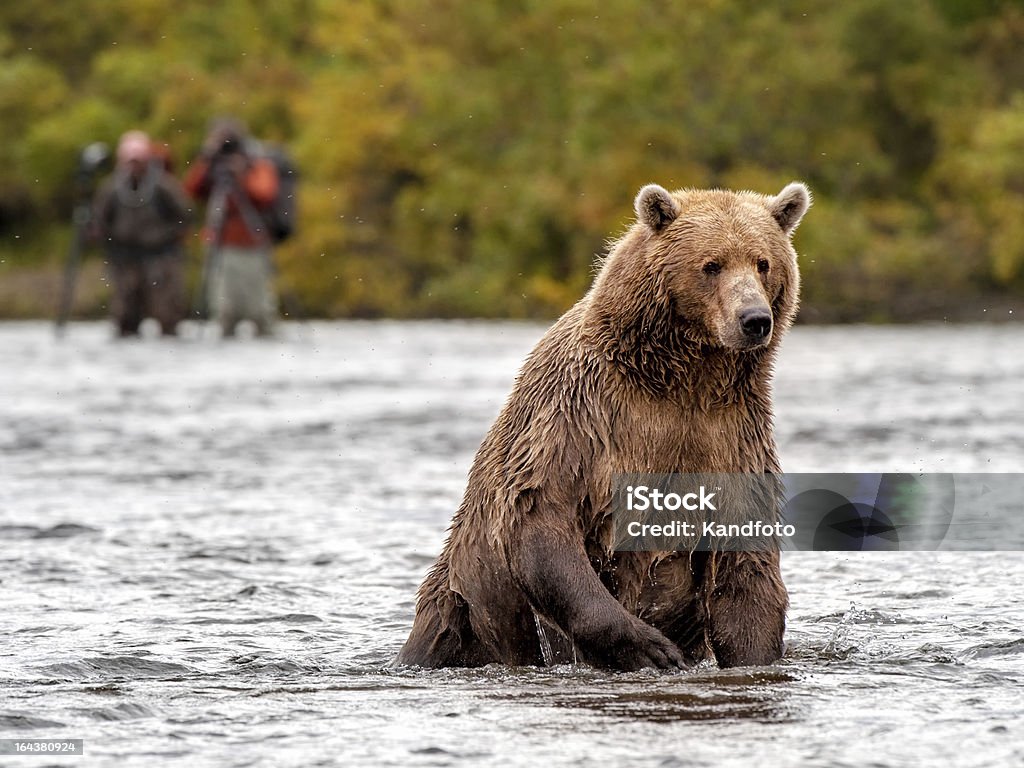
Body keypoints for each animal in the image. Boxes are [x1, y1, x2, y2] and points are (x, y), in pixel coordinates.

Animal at [395, 179, 811, 667]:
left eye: (763, 263)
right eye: (712, 264)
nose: (755, 319)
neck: (684, 380)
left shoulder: (732, 435)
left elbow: (745, 566)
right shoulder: (585, 415)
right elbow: (537, 512)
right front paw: (650, 647)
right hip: (465, 604)